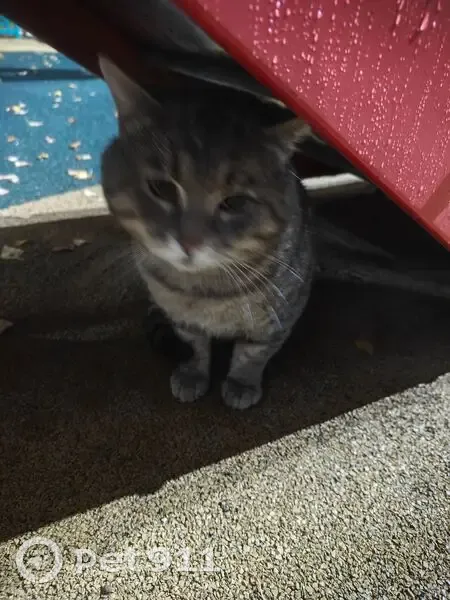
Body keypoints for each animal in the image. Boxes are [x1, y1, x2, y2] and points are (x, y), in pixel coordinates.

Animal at [99, 57, 315, 409]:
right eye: (161, 188)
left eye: (235, 202)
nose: (189, 241)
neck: (206, 291)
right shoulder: (181, 317)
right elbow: (195, 344)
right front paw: (193, 374)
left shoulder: (284, 312)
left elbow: (254, 353)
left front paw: (242, 382)